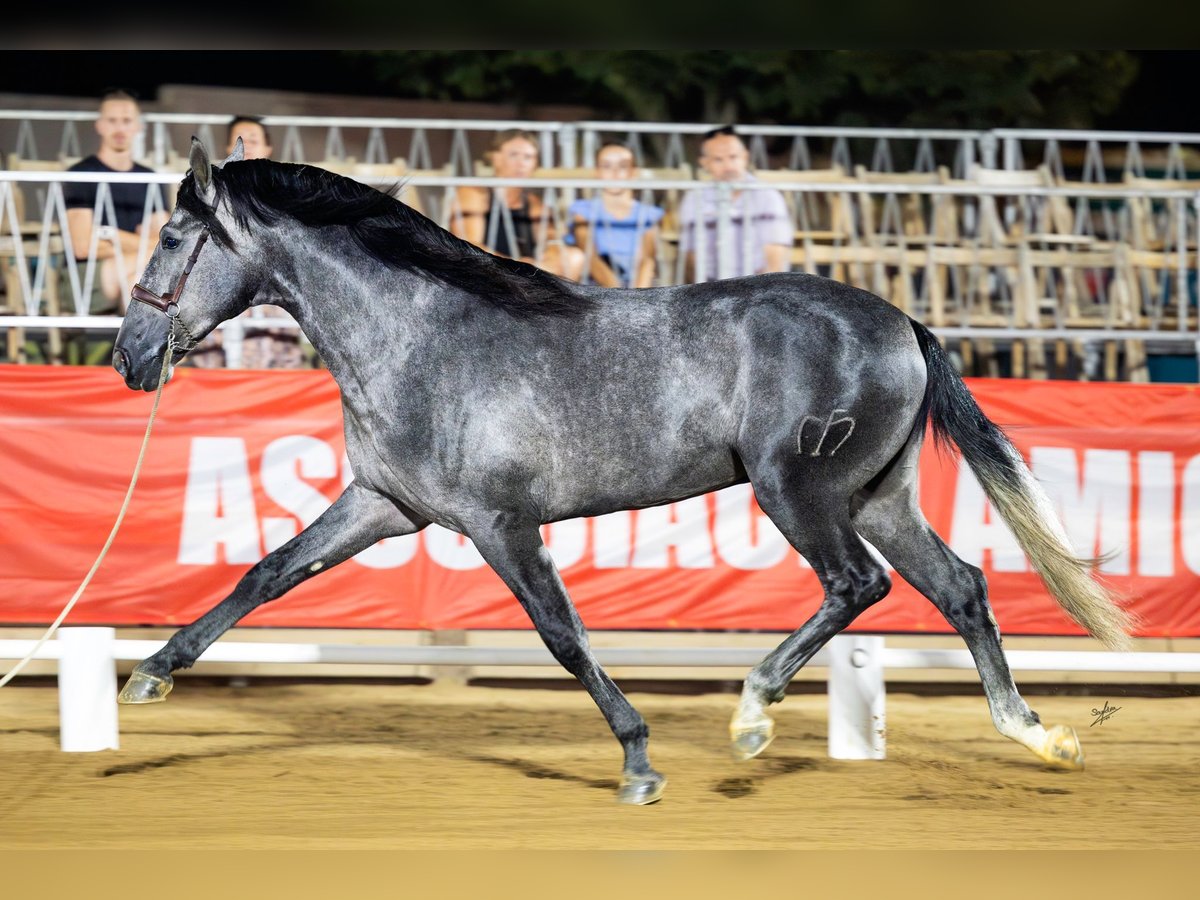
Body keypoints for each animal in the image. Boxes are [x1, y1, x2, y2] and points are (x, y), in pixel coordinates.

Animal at [108, 141, 1128, 811]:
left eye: (171, 237)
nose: (128, 358)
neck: (420, 336)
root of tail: (902, 321)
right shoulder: (384, 506)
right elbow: (267, 573)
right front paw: (149, 678)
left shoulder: (499, 522)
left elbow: (563, 636)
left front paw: (639, 762)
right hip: (876, 496)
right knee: (960, 586)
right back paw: (1039, 735)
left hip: (798, 491)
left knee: (857, 584)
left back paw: (753, 715)